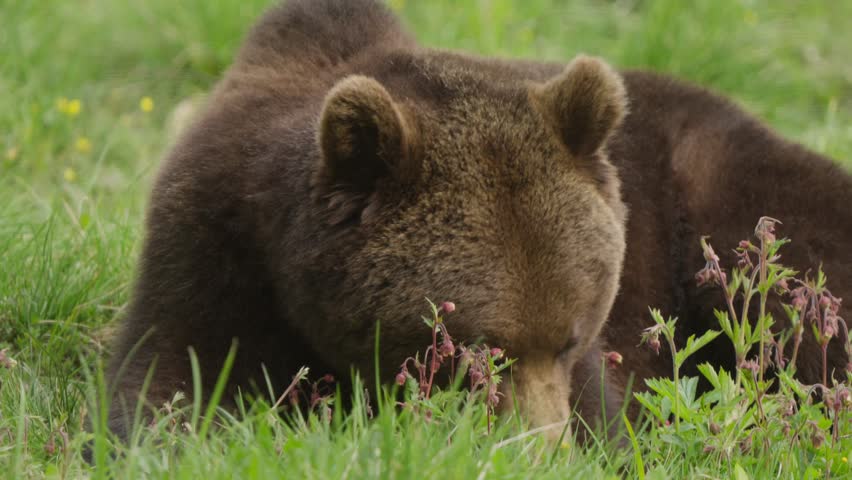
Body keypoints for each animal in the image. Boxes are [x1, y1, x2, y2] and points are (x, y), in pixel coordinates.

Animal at [105, 0, 852, 442]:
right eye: (482, 350)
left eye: (572, 336)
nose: (538, 447)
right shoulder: (214, 252)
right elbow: (169, 386)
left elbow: (612, 416)